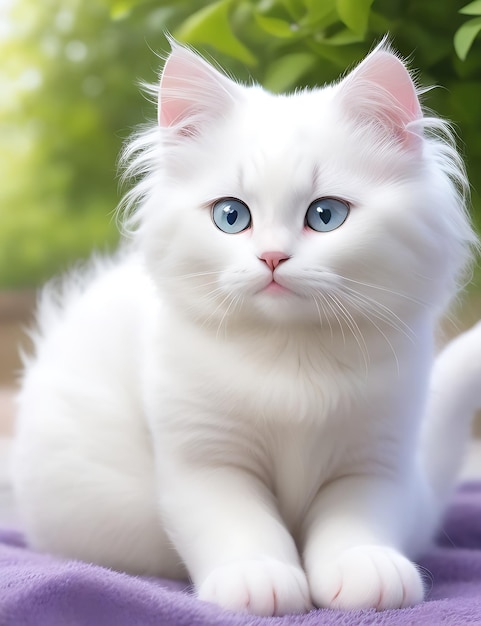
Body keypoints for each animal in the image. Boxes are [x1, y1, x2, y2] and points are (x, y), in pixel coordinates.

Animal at [11, 40, 480, 616]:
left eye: (326, 215)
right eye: (231, 216)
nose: (272, 257)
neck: (294, 358)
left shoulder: (375, 457)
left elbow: (355, 521)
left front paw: (367, 569)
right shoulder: (206, 458)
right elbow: (239, 525)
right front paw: (261, 580)